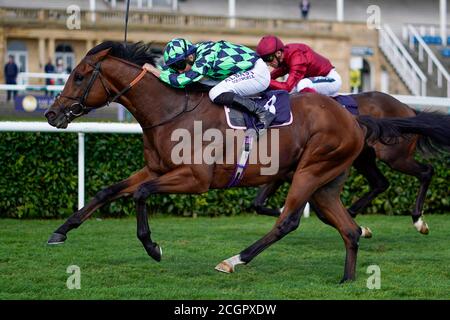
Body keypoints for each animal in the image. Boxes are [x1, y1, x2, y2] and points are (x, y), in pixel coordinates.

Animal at [253, 91, 440, 234]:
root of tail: (406, 107)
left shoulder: (304, 173)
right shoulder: (285, 172)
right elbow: (258, 204)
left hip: (395, 157)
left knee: (426, 171)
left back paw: (418, 220)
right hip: (363, 159)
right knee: (381, 182)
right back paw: (353, 211)